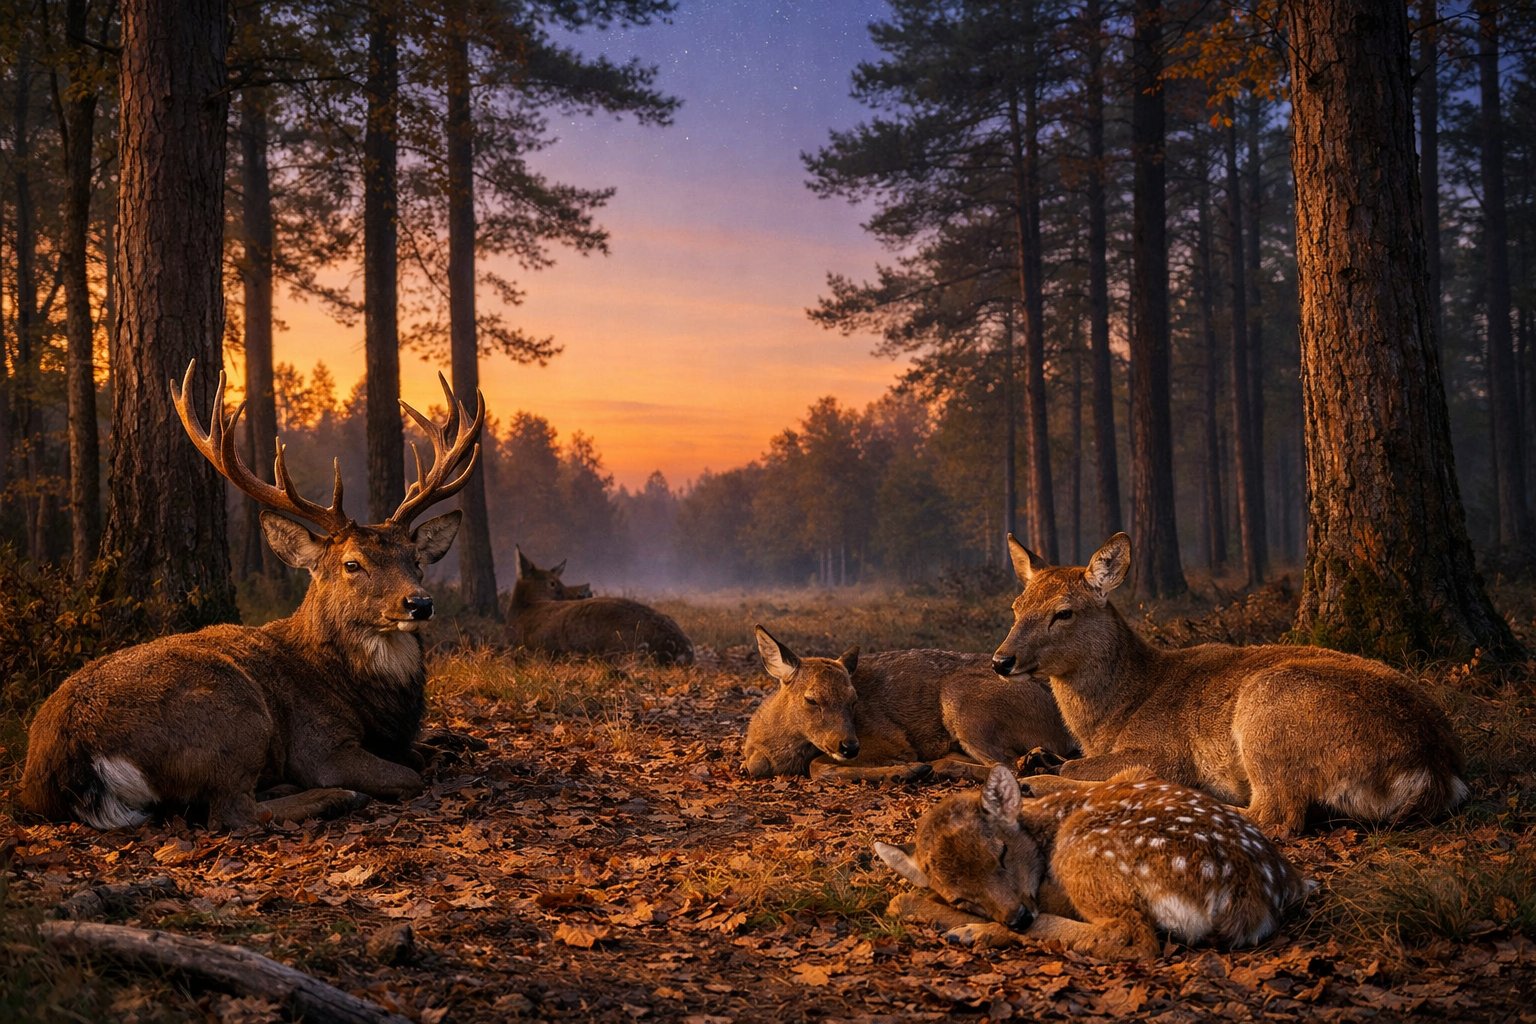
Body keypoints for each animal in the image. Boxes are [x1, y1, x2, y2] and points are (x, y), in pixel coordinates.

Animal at [18, 362, 484, 830]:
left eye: (415, 559)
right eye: (352, 564)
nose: (419, 603)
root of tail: (74, 760)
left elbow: (436, 748)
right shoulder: (320, 745)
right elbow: (410, 775)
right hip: (236, 714)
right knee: (230, 811)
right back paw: (332, 796)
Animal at [743, 626, 1074, 783]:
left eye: (854, 700)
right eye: (811, 699)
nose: (849, 746)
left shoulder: (892, 742)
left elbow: (817, 766)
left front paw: (901, 771)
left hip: (962, 702)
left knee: (1008, 767)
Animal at [875, 765, 1310, 958]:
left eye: (1000, 854)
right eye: (960, 897)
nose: (1017, 917)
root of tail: (1254, 902)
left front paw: (913, 905)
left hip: (1085, 851)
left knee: (1132, 938)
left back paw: (971, 933)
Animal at [990, 532, 1468, 836]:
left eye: (1063, 612)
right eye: (1016, 606)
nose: (1000, 660)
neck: (1115, 713)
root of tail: (1433, 769)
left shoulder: (1165, 750)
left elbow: (1081, 767)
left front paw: (1043, 772)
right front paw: (1037, 758)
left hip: (1271, 710)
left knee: (1274, 815)